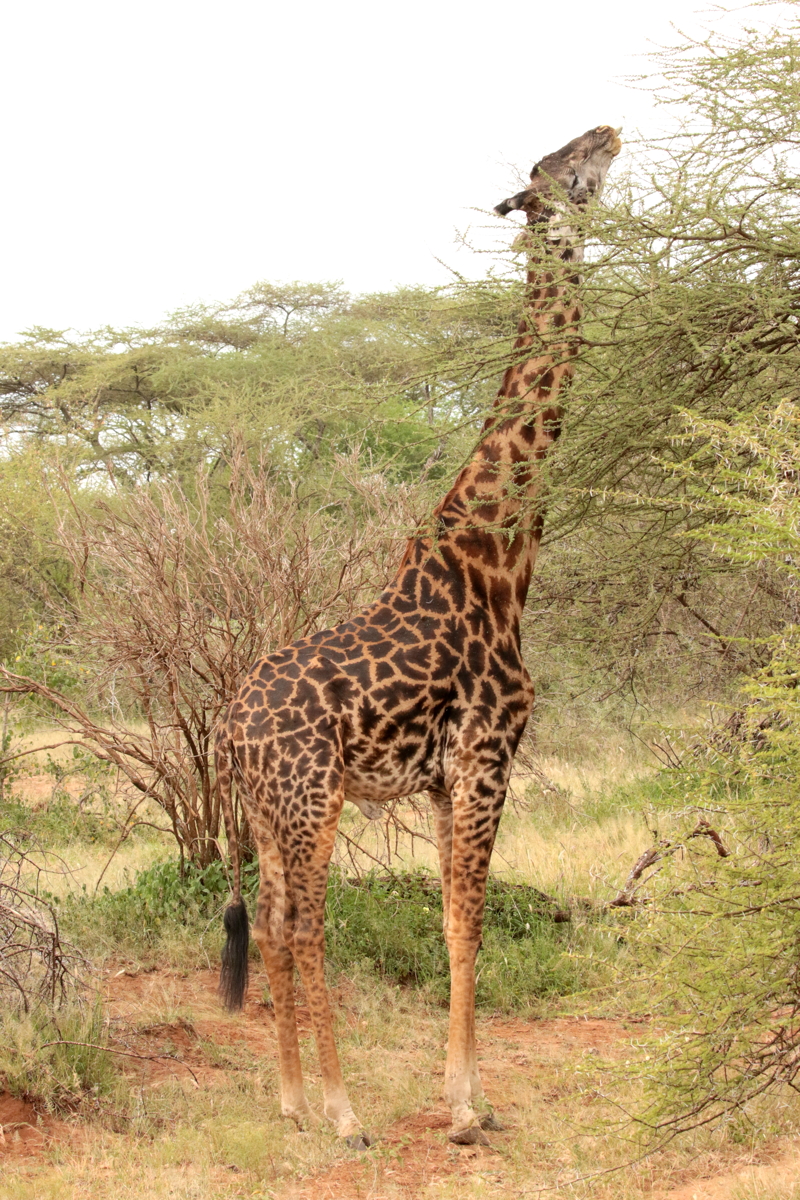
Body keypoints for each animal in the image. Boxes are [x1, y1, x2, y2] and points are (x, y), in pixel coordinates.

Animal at [215, 126, 623, 1147]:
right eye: (564, 166)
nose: (610, 131)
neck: (500, 558)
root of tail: (229, 728)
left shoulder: (445, 777)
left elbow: (450, 916)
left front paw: (468, 1095)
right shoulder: (487, 756)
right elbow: (466, 922)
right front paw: (466, 1109)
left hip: (268, 812)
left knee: (270, 922)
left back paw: (292, 1102)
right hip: (311, 798)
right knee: (307, 925)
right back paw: (343, 1111)